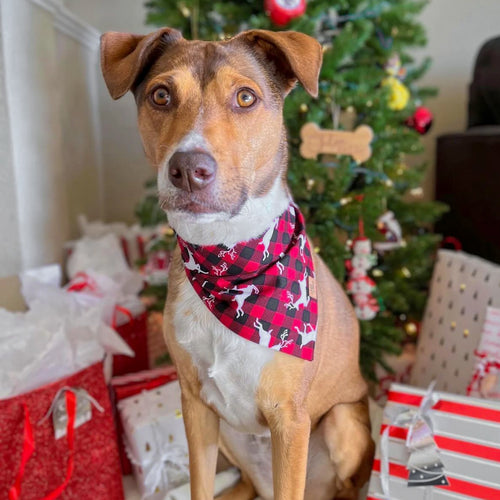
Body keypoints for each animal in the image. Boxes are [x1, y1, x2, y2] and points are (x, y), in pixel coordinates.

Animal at [101, 27, 374, 500]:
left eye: (245, 98)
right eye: (160, 95)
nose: (188, 169)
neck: (228, 263)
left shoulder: (290, 419)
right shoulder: (194, 403)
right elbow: (199, 485)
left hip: (342, 422)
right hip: (229, 433)